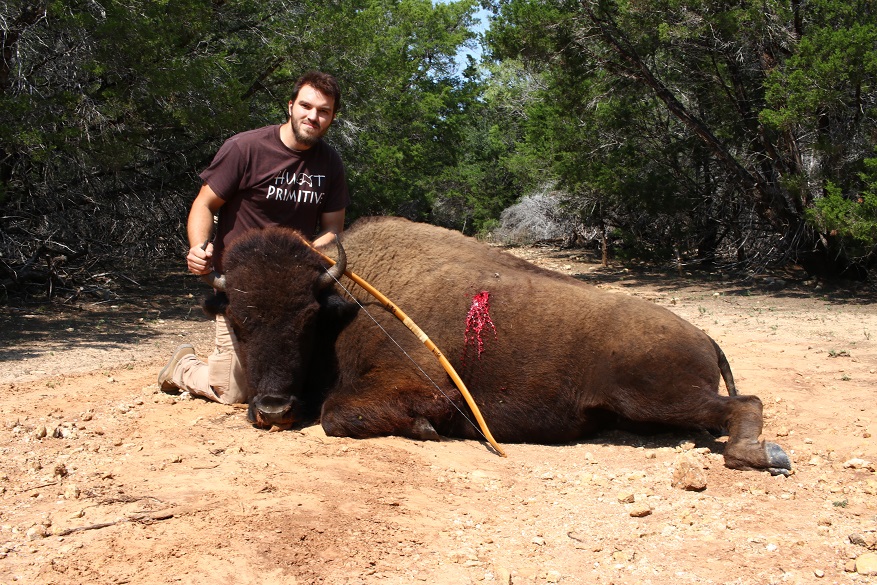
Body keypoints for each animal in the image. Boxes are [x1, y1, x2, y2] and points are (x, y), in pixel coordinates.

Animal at [207, 214, 792, 474]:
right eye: (235, 319)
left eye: (307, 318)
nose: (272, 409)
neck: (346, 302)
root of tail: (704, 335)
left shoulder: (422, 386)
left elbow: (337, 414)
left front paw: (425, 430)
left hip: (655, 396)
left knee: (744, 404)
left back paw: (758, 456)